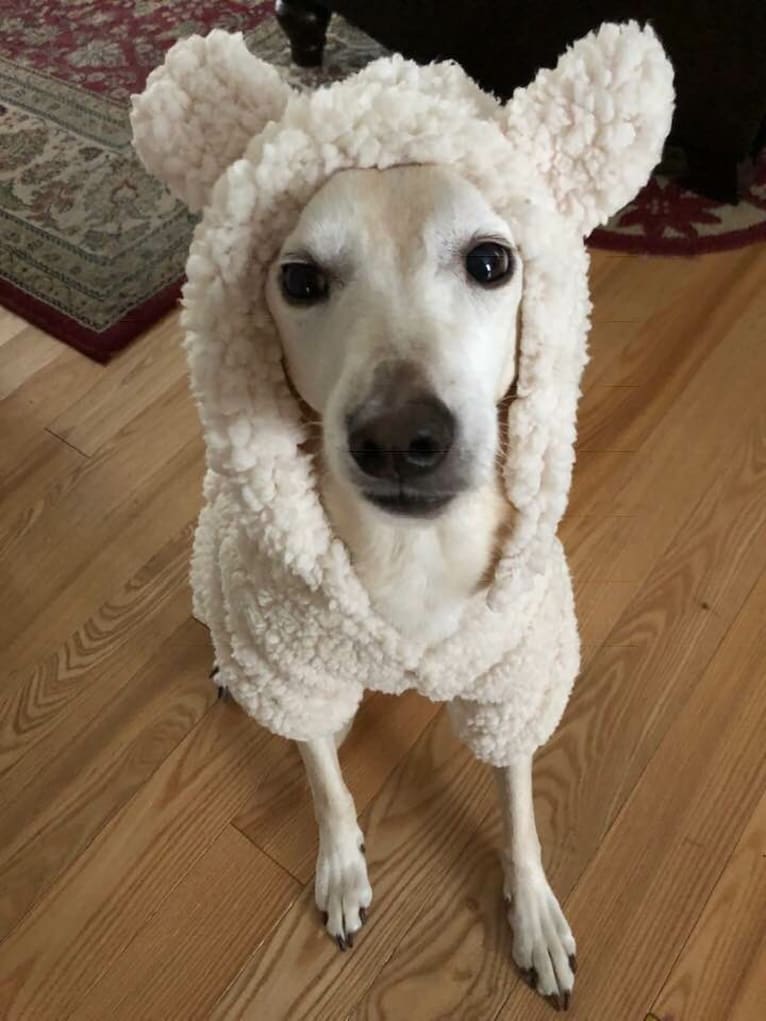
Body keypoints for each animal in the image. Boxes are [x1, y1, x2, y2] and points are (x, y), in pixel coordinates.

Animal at [267, 161, 580, 1004]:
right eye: (299, 280)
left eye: (491, 261)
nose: (399, 437)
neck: (414, 550)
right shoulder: (293, 671)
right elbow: (323, 781)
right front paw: (343, 867)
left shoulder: (515, 679)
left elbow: (520, 809)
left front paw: (533, 911)